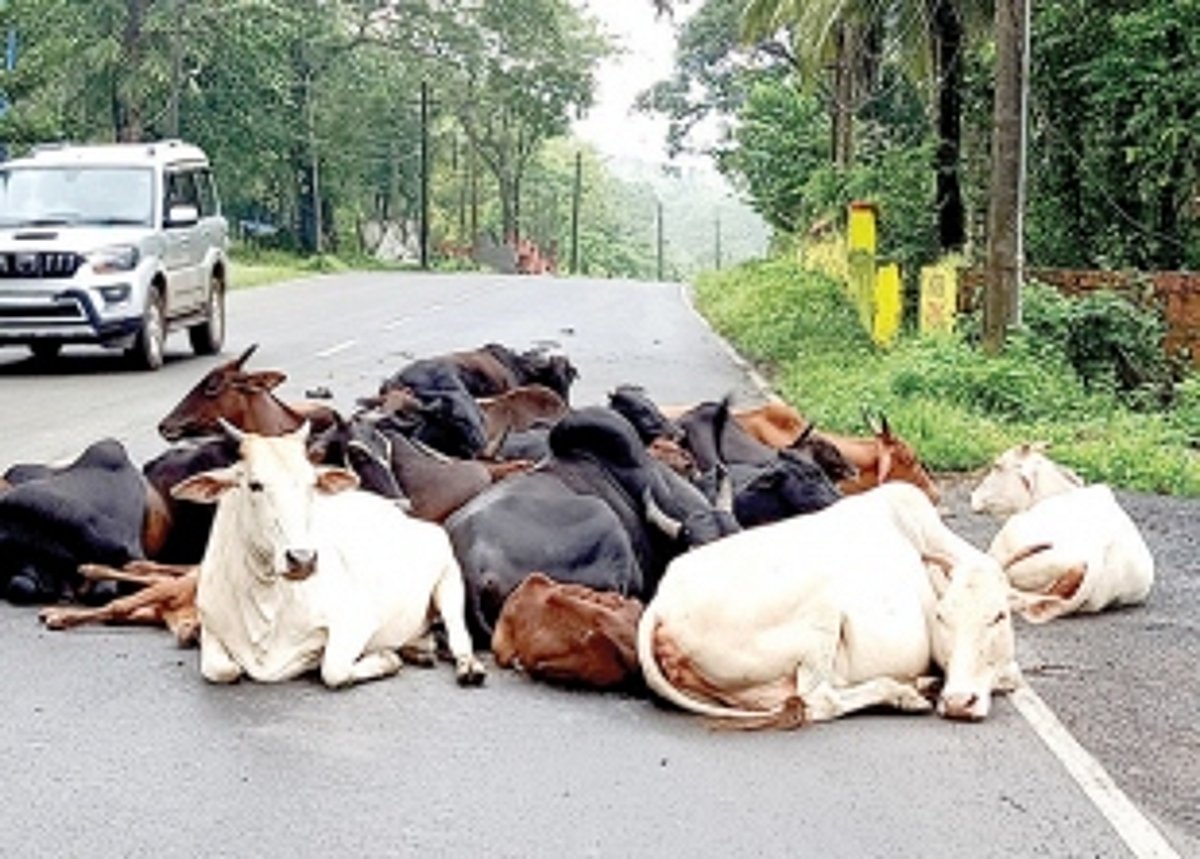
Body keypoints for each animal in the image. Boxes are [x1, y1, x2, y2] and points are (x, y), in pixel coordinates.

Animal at [172, 422, 486, 688]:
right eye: (255, 485)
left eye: (312, 484)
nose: (302, 558)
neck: (264, 602)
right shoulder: (211, 627)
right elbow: (220, 670)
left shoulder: (357, 620)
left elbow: (333, 669)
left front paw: (386, 658)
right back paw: (419, 650)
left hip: (449, 578)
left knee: (458, 630)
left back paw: (467, 665)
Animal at [637, 482, 1025, 726]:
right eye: (942, 617)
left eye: (999, 616)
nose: (959, 702)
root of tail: (662, 602)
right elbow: (1012, 676)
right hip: (821, 617)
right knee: (819, 699)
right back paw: (904, 693)